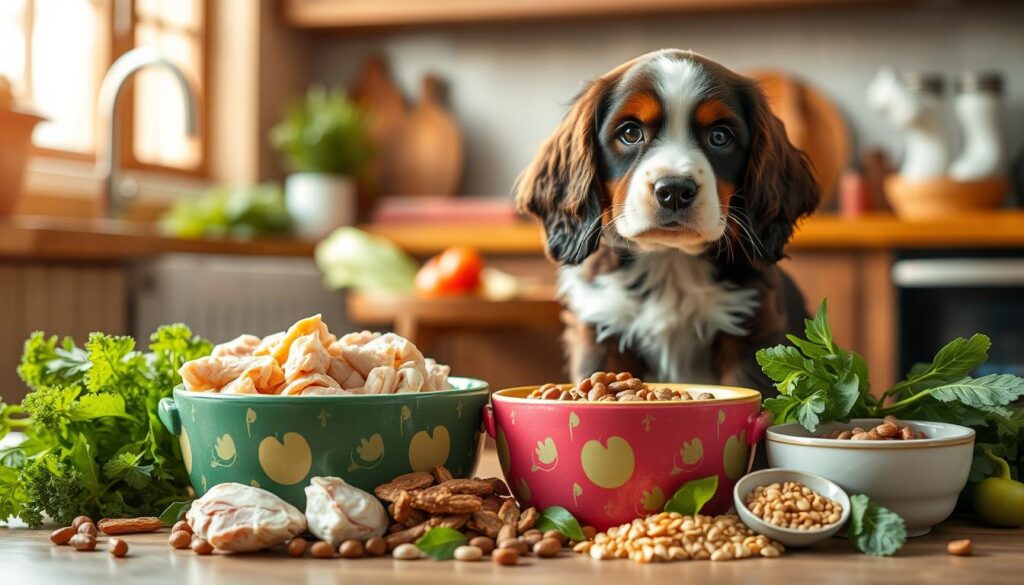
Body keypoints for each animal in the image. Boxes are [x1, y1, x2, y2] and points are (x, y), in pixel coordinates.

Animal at [516, 50, 819, 393]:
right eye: (630, 133)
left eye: (720, 136)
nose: (674, 190)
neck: (670, 260)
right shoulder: (601, 327)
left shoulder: (750, 328)